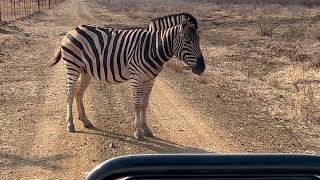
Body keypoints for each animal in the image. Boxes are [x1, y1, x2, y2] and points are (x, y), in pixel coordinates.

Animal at [48, 14, 206, 141]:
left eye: (199, 40)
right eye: (187, 42)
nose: (202, 68)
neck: (152, 48)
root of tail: (72, 29)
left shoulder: (150, 79)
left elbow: (145, 104)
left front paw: (146, 128)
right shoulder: (137, 76)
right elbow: (137, 104)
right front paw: (138, 131)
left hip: (85, 71)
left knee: (79, 93)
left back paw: (85, 121)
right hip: (72, 66)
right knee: (69, 94)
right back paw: (70, 125)